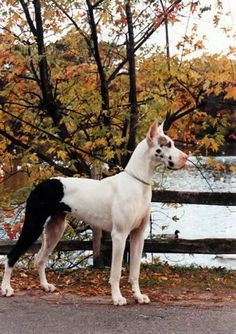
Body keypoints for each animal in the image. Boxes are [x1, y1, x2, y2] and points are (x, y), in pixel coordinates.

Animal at [0, 122, 187, 306]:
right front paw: (117, 298)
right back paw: (6, 288)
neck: (137, 182)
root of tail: (39, 185)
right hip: (33, 225)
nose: (186, 158)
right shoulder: (119, 235)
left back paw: (45, 286)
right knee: (11, 256)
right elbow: (116, 273)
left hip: (56, 229)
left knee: (39, 259)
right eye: (168, 144)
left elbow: (135, 272)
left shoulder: (138, 236)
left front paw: (138, 296)